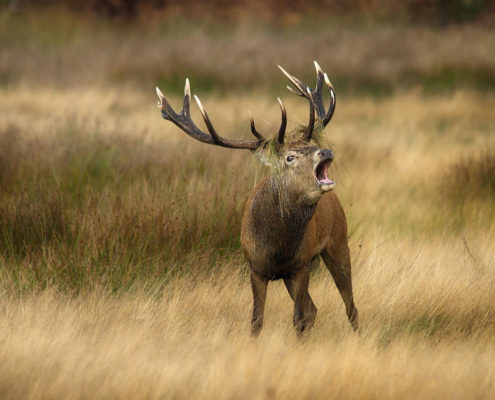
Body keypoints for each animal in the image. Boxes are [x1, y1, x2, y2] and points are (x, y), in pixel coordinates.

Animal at [157, 61, 358, 338]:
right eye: (290, 157)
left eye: (311, 146)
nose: (326, 151)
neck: (277, 247)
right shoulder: (255, 268)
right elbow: (256, 319)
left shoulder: (300, 265)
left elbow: (298, 317)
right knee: (315, 309)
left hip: (338, 241)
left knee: (349, 306)